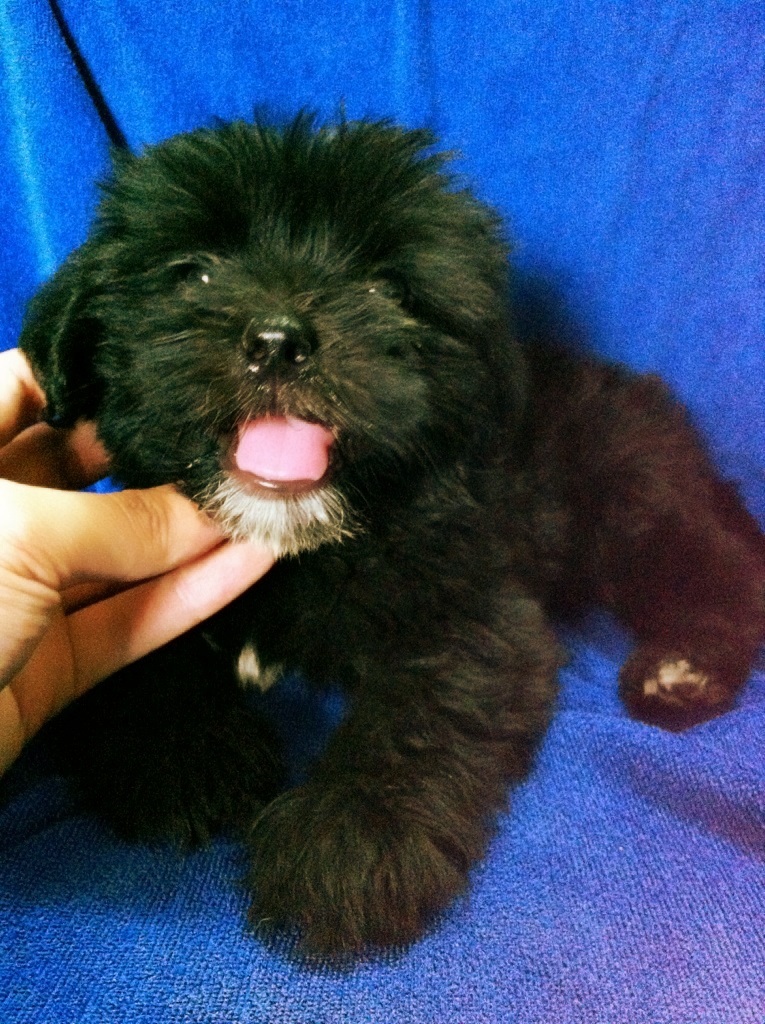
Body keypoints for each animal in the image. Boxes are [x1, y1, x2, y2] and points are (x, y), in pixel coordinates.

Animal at [21, 114, 765, 955]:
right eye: (195, 274)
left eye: (386, 290)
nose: (278, 338)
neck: (298, 550)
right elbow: (141, 648)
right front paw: (181, 749)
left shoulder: (475, 606)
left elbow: (419, 712)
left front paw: (347, 836)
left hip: (630, 492)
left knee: (714, 566)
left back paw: (682, 668)